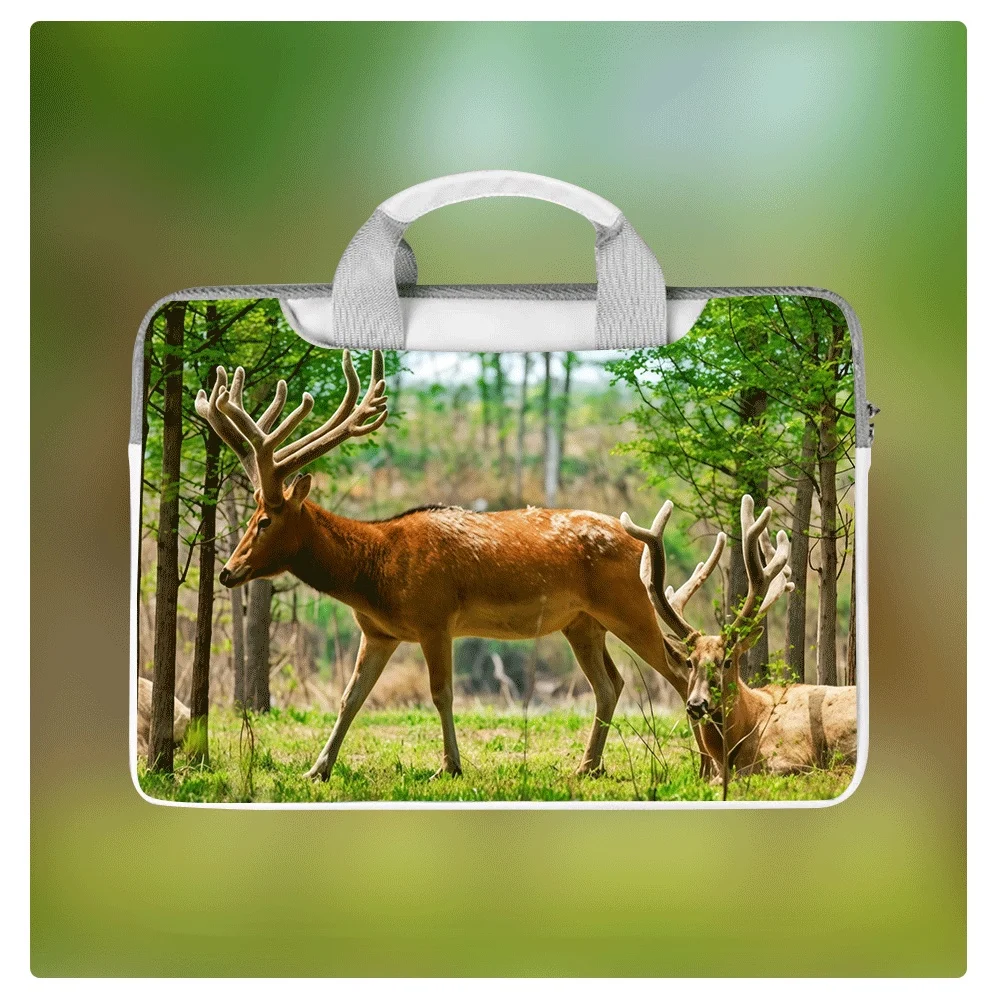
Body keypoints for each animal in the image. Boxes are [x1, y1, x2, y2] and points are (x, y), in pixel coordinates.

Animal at [195, 349, 694, 782]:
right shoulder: (378, 632)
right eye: (252, 517)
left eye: (264, 520)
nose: (227, 572)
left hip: (630, 607)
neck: (376, 574)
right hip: (583, 623)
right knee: (611, 684)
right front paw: (317, 769)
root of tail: (640, 548)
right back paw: (587, 766)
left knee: (678, 668)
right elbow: (350, 698)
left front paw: (450, 766)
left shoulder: (434, 618)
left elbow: (441, 694)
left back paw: (701, 760)